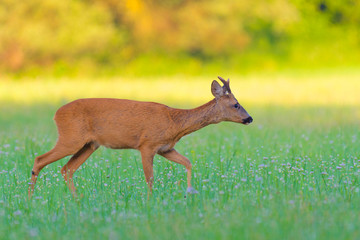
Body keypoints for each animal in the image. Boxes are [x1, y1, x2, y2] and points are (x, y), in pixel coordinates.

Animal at [28, 76, 253, 197]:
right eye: (235, 104)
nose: (249, 118)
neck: (175, 122)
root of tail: (56, 114)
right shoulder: (147, 144)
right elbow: (150, 178)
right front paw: (150, 201)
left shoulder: (166, 148)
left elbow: (188, 162)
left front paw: (190, 192)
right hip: (70, 138)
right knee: (40, 159)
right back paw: (30, 200)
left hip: (89, 145)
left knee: (66, 169)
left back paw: (76, 199)